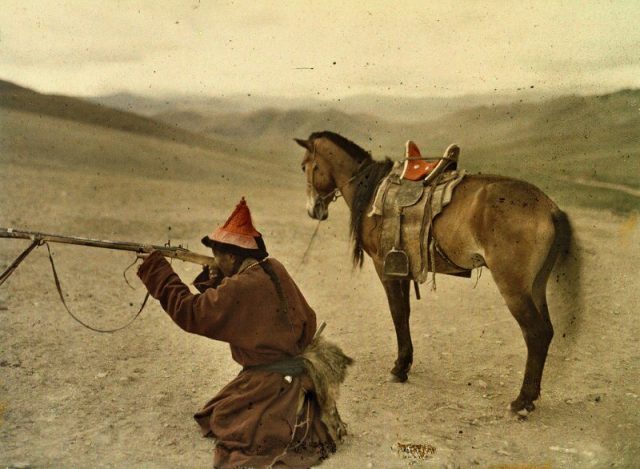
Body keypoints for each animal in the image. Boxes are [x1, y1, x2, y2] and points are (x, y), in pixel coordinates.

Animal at [296, 130, 580, 412]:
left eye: (305, 166)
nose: (312, 209)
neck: (372, 190)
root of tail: (549, 207)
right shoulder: (402, 268)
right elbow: (405, 313)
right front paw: (405, 363)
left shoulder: (383, 265)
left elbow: (397, 313)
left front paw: (399, 368)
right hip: (537, 286)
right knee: (547, 331)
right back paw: (530, 397)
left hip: (514, 288)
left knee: (536, 333)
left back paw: (523, 399)